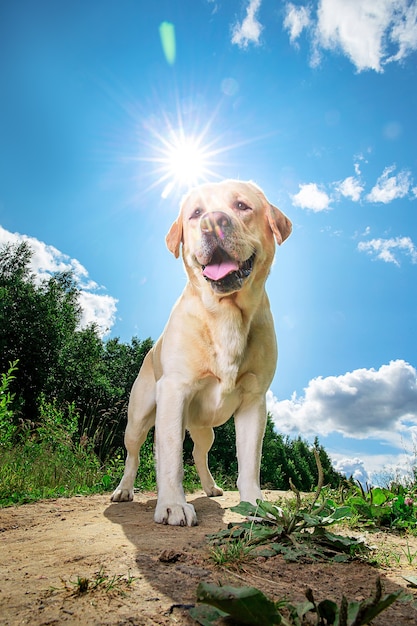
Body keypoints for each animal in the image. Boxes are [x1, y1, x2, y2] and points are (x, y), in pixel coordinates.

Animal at [111, 179, 292, 520]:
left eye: (242, 206)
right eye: (196, 213)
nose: (213, 221)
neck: (226, 314)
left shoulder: (254, 402)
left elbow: (249, 463)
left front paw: (256, 504)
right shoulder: (174, 391)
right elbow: (170, 458)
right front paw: (172, 505)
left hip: (204, 429)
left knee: (198, 453)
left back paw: (210, 487)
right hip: (138, 418)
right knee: (134, 455)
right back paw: (124, 491)